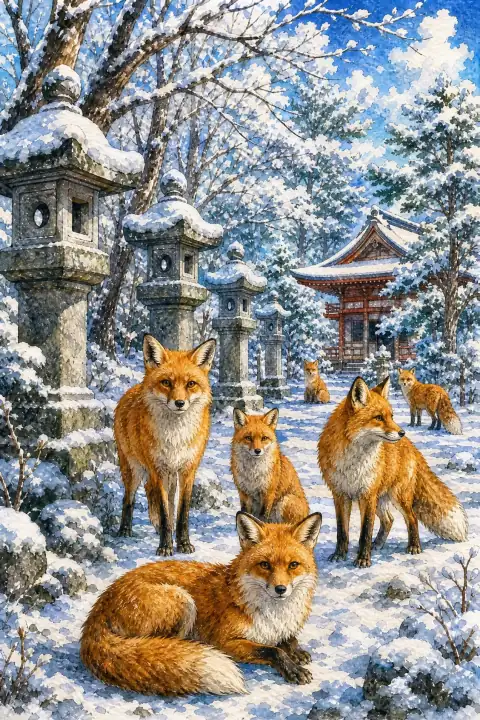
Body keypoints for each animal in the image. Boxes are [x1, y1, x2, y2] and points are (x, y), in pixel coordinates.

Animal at [80, 511, 322, 696]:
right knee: (158, 648)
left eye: (293, 565)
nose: (280, 589)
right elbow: (271, 651)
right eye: (265, 565)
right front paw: (292, 667)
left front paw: (295, 649)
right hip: (182, 601)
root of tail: (99, 606)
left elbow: (285, 641)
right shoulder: (226, 642)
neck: (273, 613)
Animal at [114, 334, 216, 556]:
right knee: (128, 499)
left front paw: (183, 543)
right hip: (133, 470)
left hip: (171, 476)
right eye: (166, 382)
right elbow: (163, 511)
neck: (175, 437)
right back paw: (125, 530)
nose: (179, 403)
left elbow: (181, 512)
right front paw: (165, 546)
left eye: (191, 384)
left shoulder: (188, 470)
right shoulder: (157, 470)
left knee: (166, 502)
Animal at [318, 375, 468, 568]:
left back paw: (414, 547)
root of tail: (412, 447)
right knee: (389, 520)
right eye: (379, 417)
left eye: (391, 416)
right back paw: (378, 544)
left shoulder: (367, 495)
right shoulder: (340, 494)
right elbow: (342, 531)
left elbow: (365, 532)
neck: (352, 462)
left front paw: (363, 559)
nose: (402, 432)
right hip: (381, 498)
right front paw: (339, 555)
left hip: (398, 496)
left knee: (412, 518)